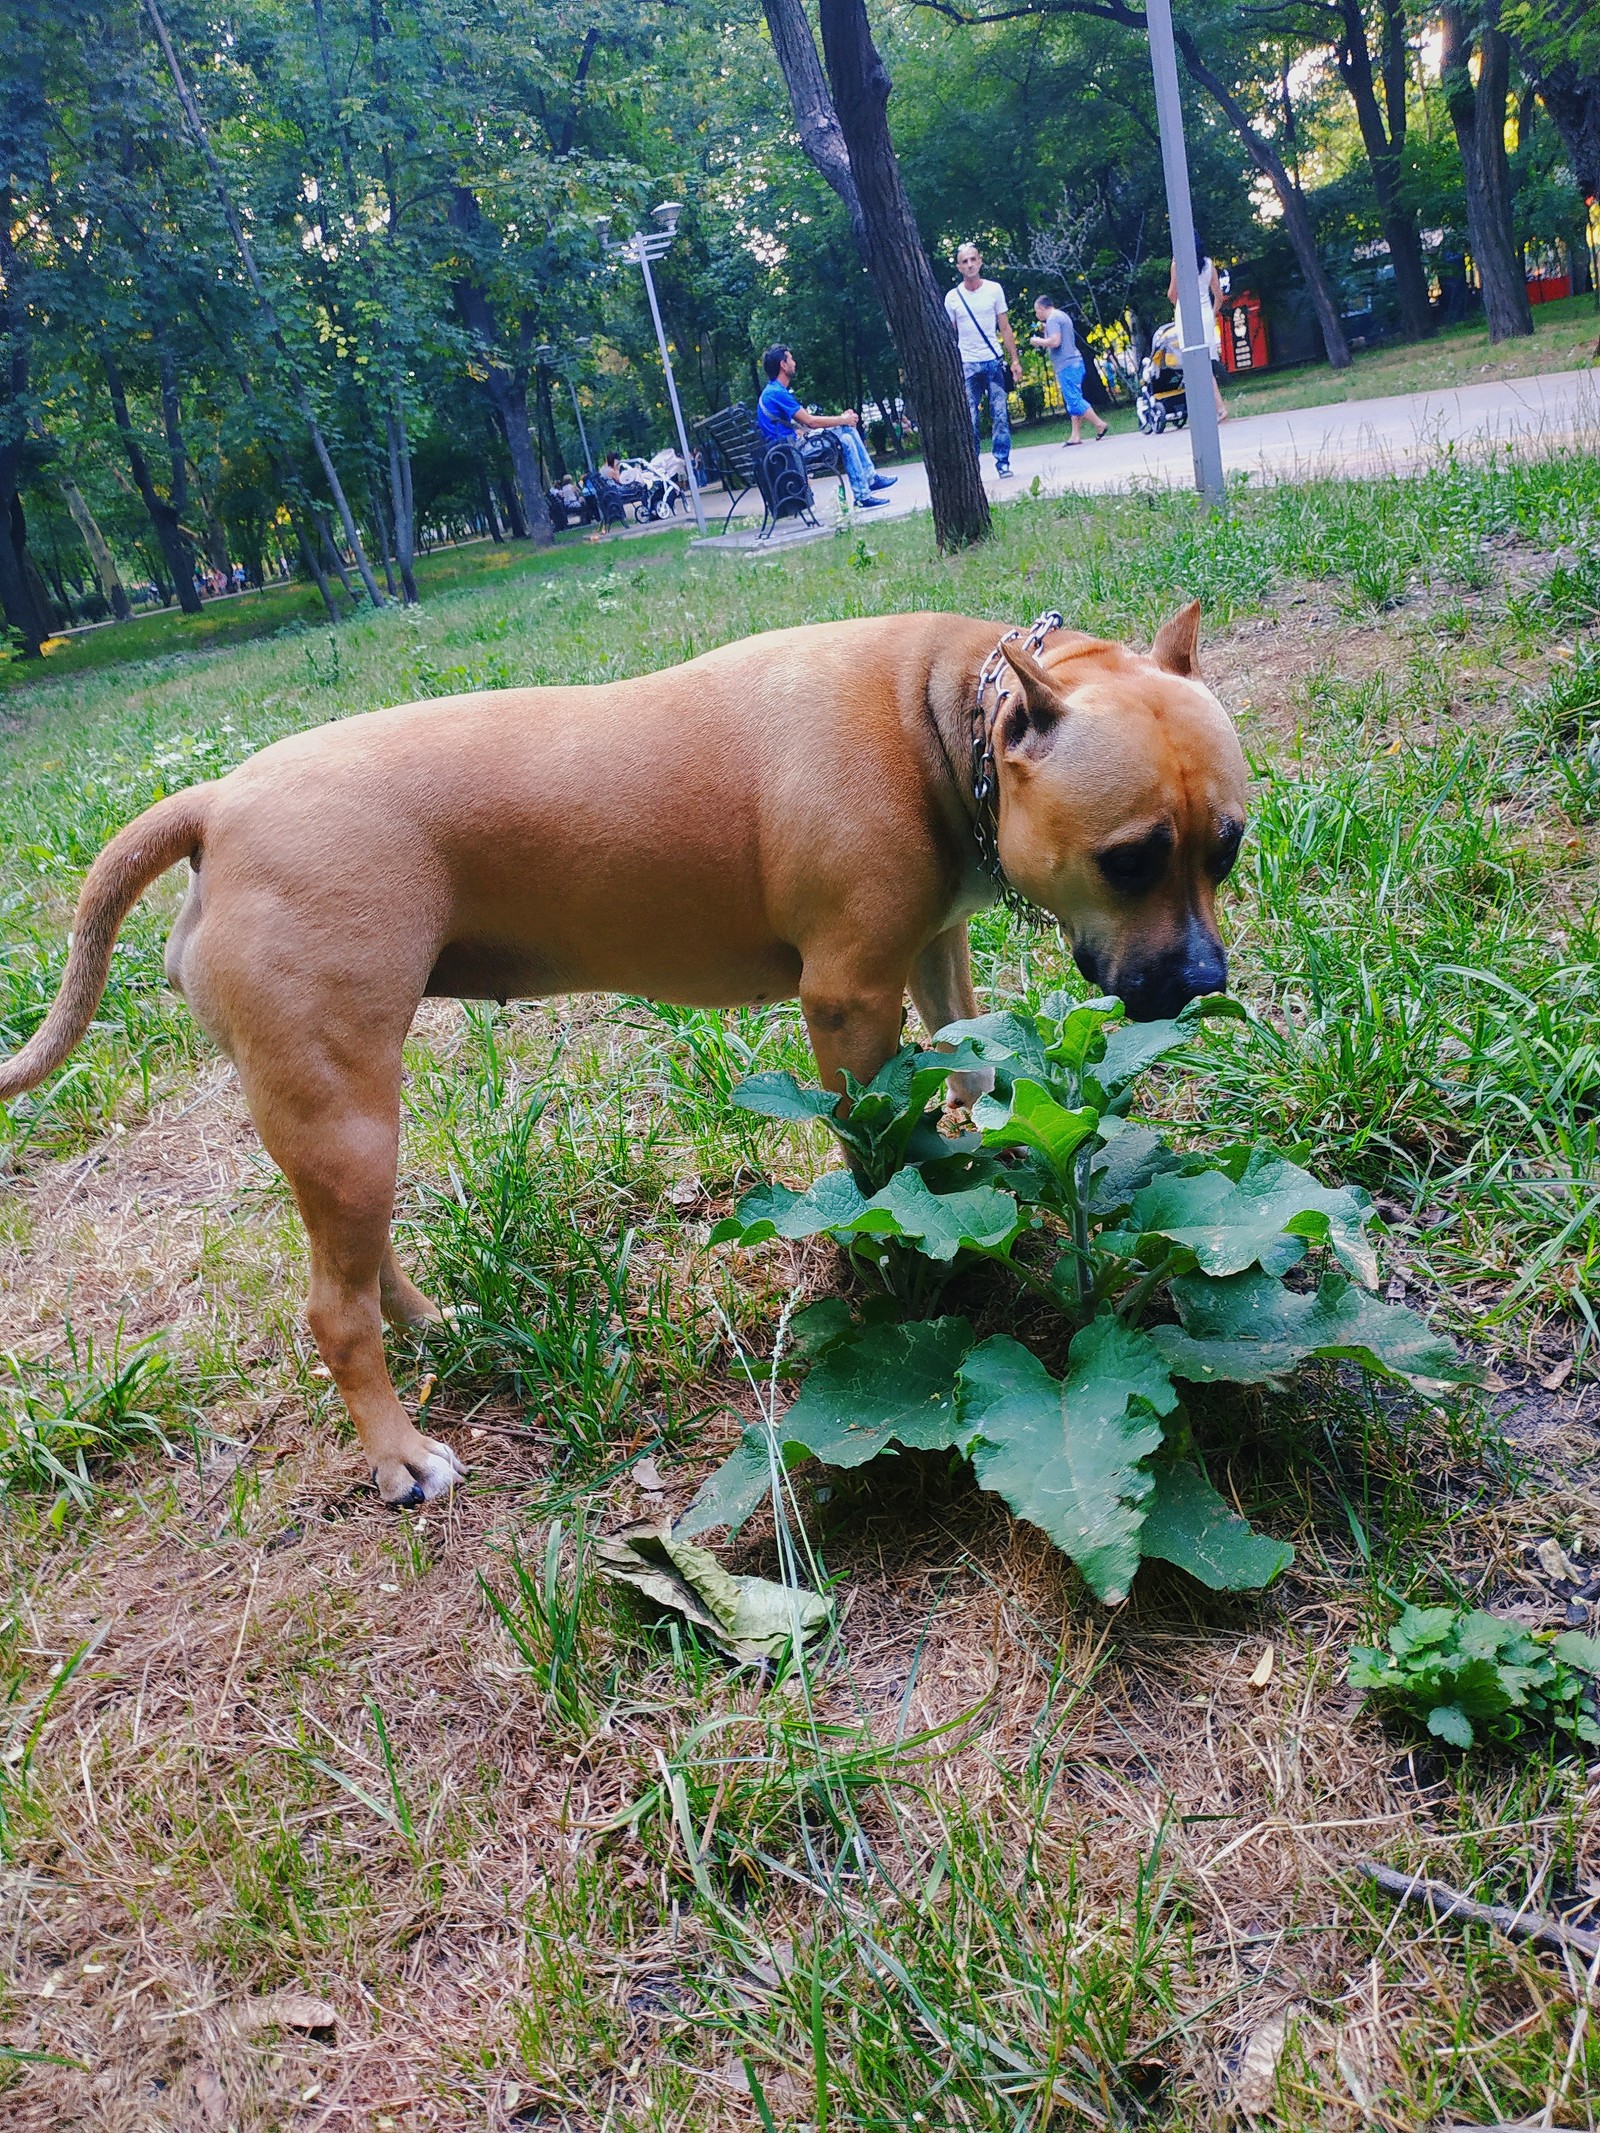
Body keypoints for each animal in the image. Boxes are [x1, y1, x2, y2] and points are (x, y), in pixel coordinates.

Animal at [0, 605, 1254, 1501]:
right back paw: (400, 1455)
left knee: (352, 1261)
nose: (1203, 984)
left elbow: (970, 1060)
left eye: (1228, 848)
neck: (941, 713)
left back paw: (426, 1324)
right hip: (344, 1112)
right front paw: (890, 1253)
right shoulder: (849, 999)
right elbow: (868, 1155)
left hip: (342, 1125)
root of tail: (218, 802)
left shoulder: (934, 949)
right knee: (329, 1310)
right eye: (1130, 859)